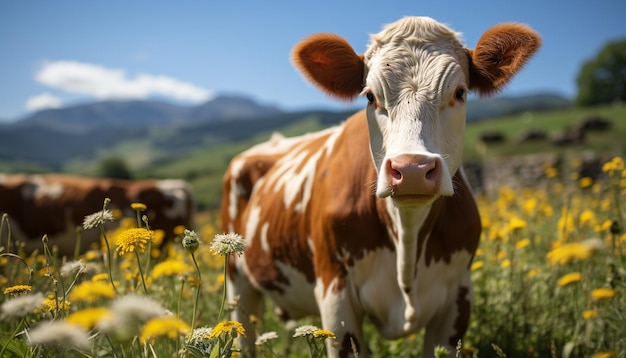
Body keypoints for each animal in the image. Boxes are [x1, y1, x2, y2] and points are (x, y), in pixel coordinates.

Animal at [222, 17, 540, 358]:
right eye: (370, 96)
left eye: (460, 92)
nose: (412, 169)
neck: (407, 240)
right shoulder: (335, 296)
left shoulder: (458, 297)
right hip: (239, 284)